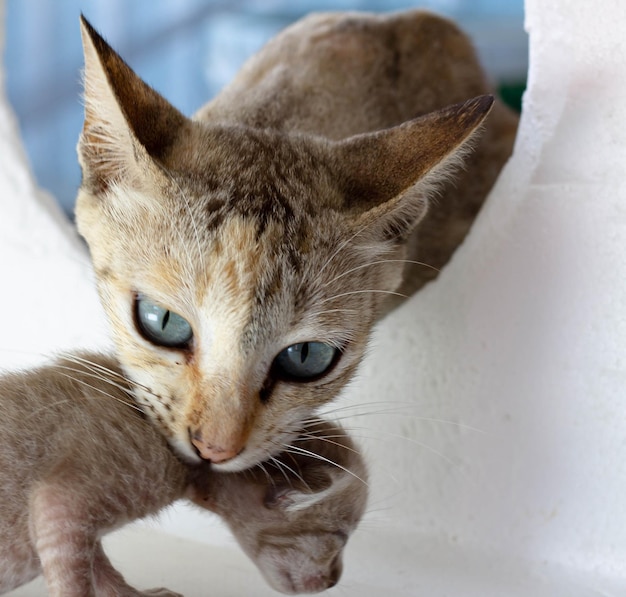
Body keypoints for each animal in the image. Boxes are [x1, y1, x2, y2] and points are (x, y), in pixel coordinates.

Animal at [0, 352, 366, 592]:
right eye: (339, 537)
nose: (334, 581)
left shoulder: (78, 528)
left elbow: (99, 567)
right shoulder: (64, 503)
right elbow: (74, 579)